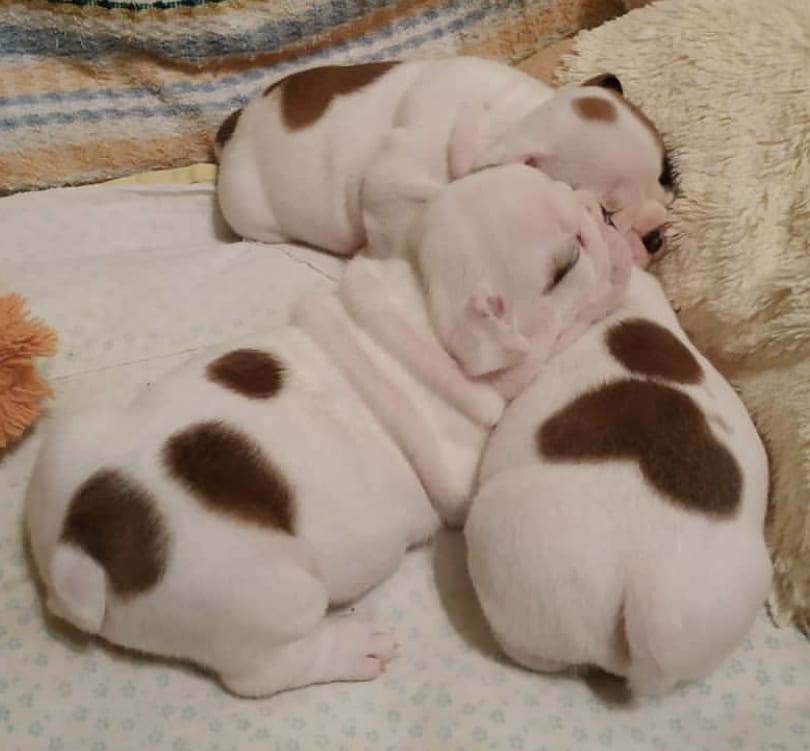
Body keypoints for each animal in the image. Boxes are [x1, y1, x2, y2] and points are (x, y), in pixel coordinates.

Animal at [22, 164, 620, 700]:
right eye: (565, 267)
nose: (601, 208)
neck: (423, 304)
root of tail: (83, 552)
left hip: (71, 440)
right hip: (268, 593)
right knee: (260, 674)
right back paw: (352, 648)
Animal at [215, 61, 668, 268]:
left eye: (666, 177)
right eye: (607, 214)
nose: (655, 236)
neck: (514, 117)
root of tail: (238, 125)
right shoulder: (390, 185)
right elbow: (394, 229)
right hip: (252, 214)